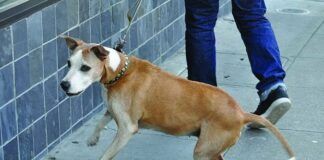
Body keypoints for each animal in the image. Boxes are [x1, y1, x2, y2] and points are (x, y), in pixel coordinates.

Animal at [59, 36, 294, 160]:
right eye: (69, 64)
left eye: (85, 67)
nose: (63, 85)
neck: (118, 73)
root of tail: (240, 113)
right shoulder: (112, 108)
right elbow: (102, 119)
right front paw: (93, 138)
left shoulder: (127, 128)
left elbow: (106, 154)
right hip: (210, 149)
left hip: (203, 150)